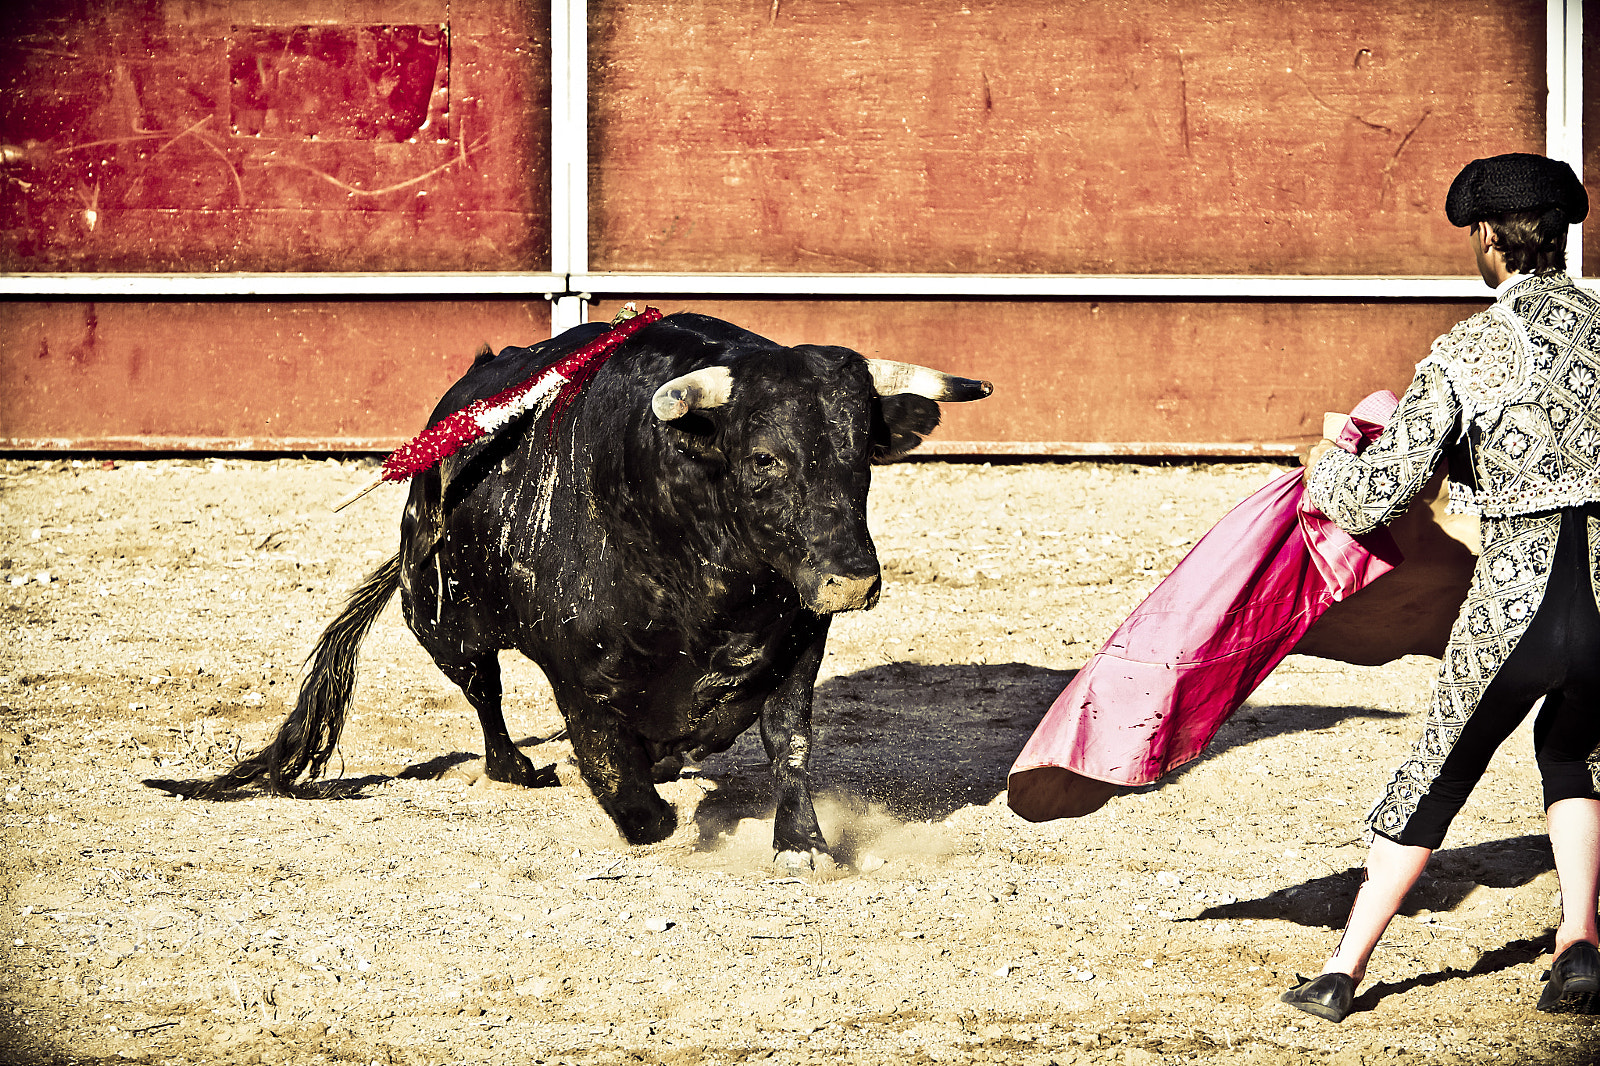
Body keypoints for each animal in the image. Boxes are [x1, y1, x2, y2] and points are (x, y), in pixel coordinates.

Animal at [148, 311, 991, 870]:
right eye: (763, 458)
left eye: (861, 454)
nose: (851, 580)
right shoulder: (580, 675)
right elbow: (616, 772)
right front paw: (654, 814)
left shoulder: (797, 641)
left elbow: (789, 739)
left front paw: (803, 845)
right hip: (441, 618)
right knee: (483, 692)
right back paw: (515, 768)